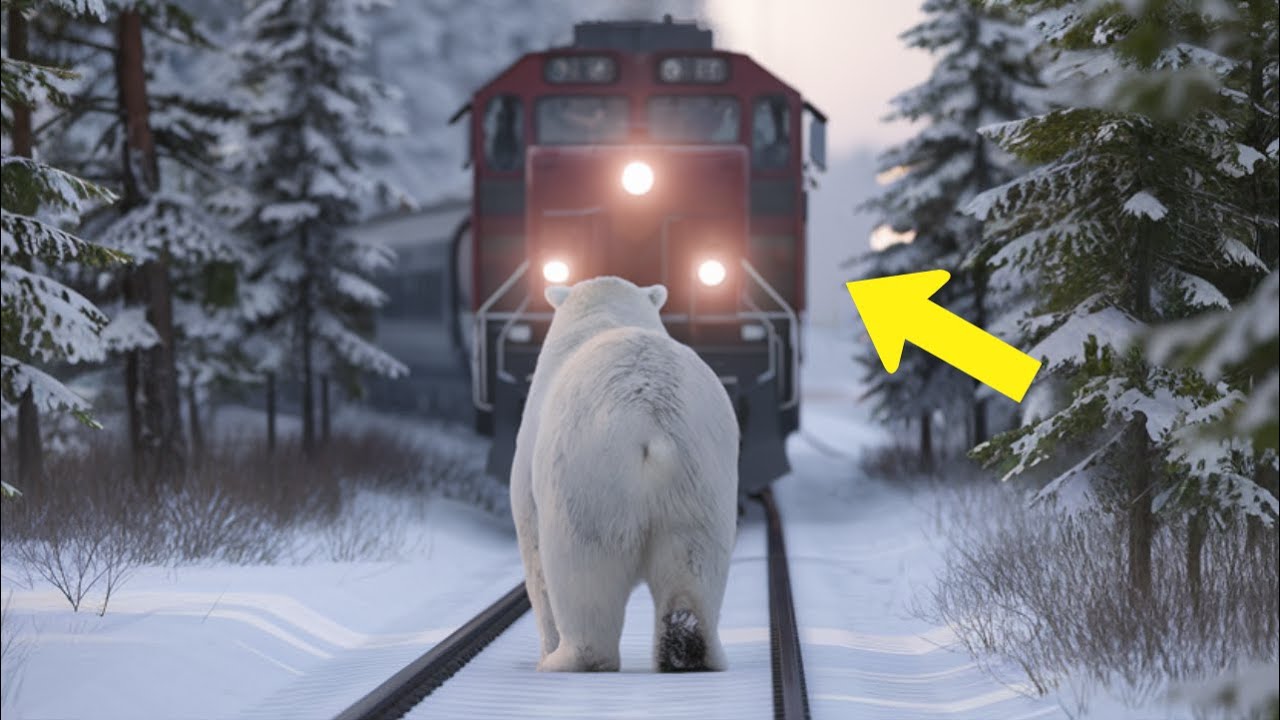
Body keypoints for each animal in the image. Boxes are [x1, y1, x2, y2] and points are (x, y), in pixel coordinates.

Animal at [508, 276, 739, 673]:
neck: (603, 316)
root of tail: (649, 421)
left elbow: (535, 560)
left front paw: (546, 648)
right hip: (702, 475)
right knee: (695, 564)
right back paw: (690, 649)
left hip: (587, 478)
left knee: (582, 574)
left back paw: (564, 659)